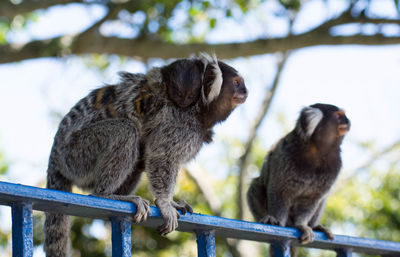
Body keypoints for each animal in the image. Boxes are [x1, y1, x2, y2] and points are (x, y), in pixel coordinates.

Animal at [46, 54, 247, 256]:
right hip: (76, 154)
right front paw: (165, 203)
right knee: (126, 131)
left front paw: (171, 202)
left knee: (138, 160)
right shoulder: (177, 124)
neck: (199, 110)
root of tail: (55, 154)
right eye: (236, 82)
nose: (245, 91)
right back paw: (105, 194)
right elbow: (161, 156)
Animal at [247, 103, 350, 247]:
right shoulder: (285, 154)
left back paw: (315, 226)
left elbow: (312, 199)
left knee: (322, 199)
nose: (348, 121)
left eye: (344, 116)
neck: (317, 150)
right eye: (339, 116)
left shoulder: (336, 166)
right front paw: (277, 222)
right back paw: (267, 218)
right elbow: (279, 191)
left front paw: (302, 225)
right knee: (256, 185)